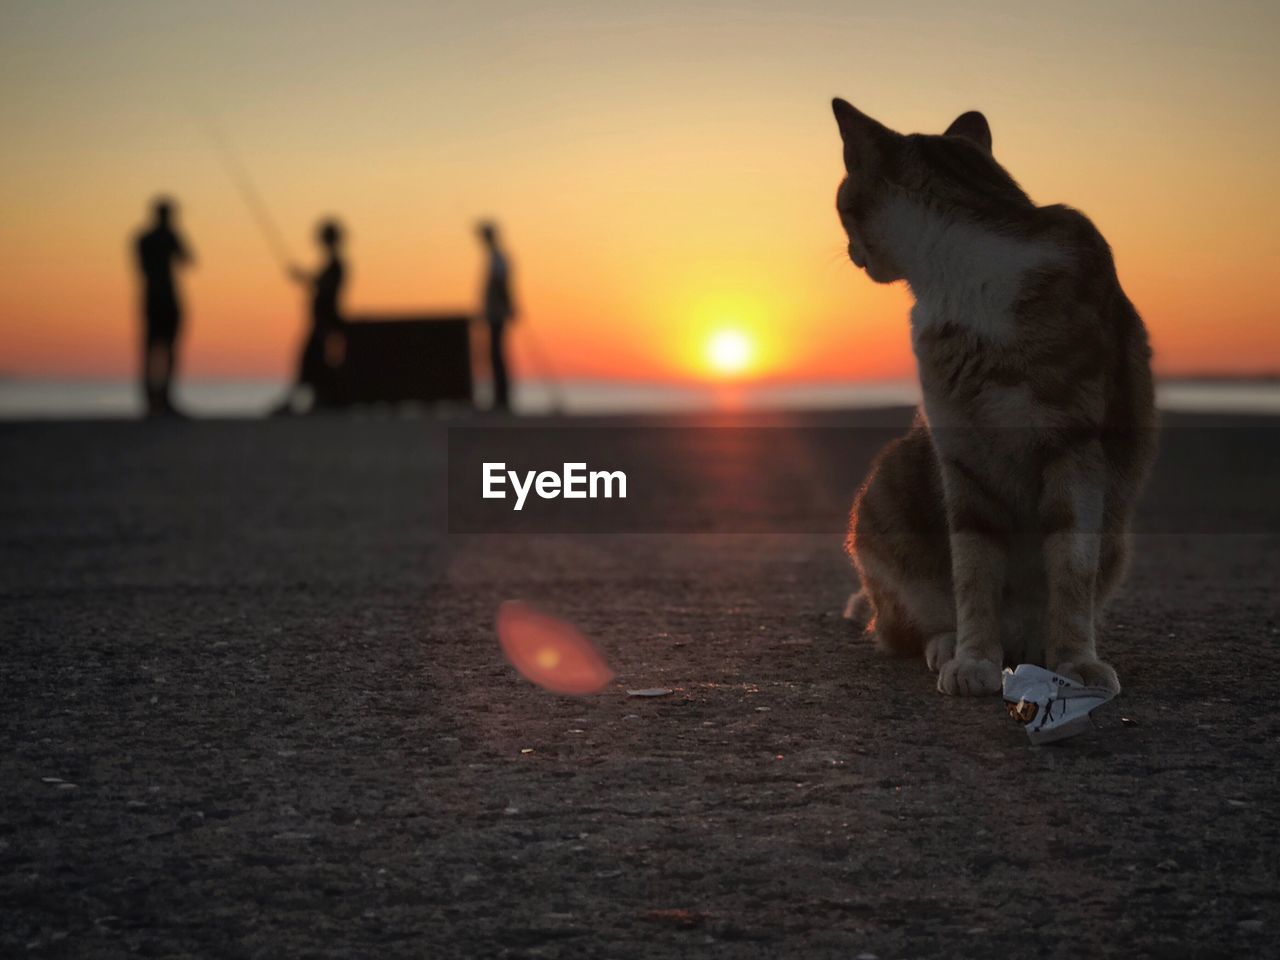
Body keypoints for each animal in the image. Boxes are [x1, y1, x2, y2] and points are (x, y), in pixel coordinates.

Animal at [834, 99, 1157, 701]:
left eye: (842, 205)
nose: (849, 251)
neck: (966, 281)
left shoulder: (1076, 446)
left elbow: (1071, 569)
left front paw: (1074, 662)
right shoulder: (960, 453)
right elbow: (972, 571)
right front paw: (973, 658)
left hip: (1119, 539)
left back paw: (1037, 648)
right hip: (886, 497)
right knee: (904, 621)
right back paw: (946, 644)